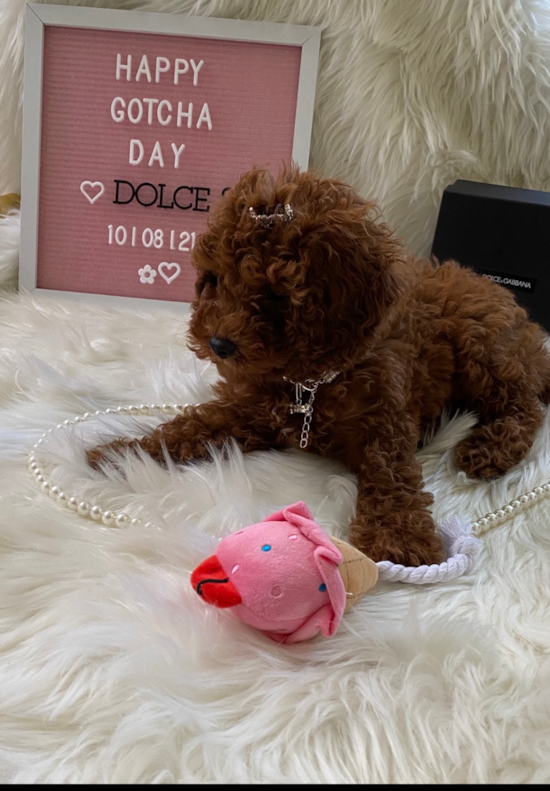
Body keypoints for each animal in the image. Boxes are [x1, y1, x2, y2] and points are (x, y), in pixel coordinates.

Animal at [88, 166, 550, 564]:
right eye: (214, 280)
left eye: (275, 294)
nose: (218, 343)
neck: (308, 378)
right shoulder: (249, 411)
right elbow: (193, 425)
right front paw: (125, 452)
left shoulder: (386, 419)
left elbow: (390, 472)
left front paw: (398, 535)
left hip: (482, 346)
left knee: (524, 405)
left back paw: (490, 448)